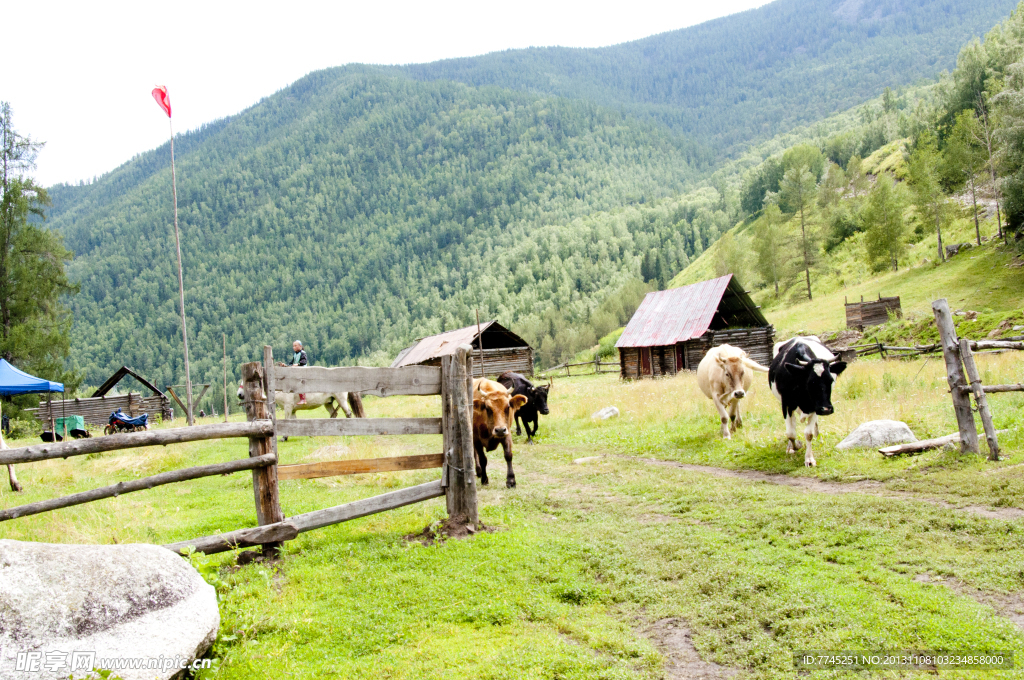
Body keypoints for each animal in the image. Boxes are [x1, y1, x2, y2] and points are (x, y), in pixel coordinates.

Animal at [770, 335, 847, 466]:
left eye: (831, 380)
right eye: (811, 382)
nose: (827, 409)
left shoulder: (816, 407)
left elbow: (808, 434)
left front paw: (809, 458)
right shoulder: (786, 404)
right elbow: (791, 433)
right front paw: (795, 446)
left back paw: (818, 437)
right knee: (792, 425)